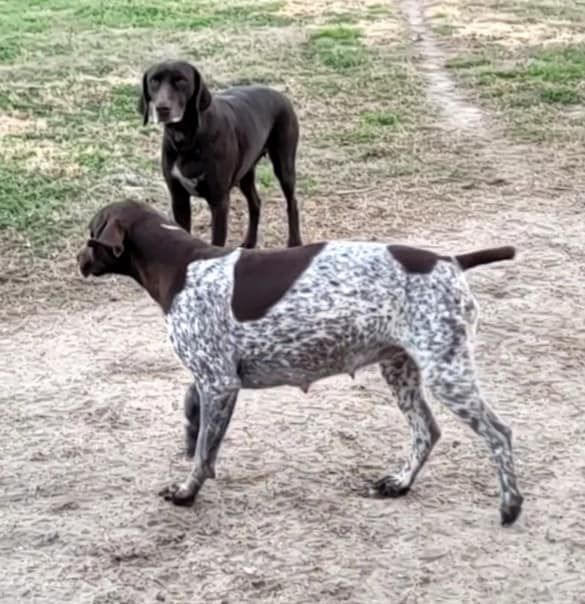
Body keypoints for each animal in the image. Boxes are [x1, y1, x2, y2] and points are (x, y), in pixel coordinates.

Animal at [77, 200, 523, 526]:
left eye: (91, 234)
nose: (77, 259)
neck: (182, 265)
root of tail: (450, 260)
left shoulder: (219, 382)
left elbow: (204, 452)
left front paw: (187, 492)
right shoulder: (213, 378)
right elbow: (197, 423)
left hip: (446, 372)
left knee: (499, 434)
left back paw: (510, 505)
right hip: (402, 370)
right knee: (426, 431)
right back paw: (400, 484)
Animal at [138, 60, 302, 249]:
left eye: (181, 80)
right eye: (154, 81)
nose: (162, 108)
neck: (188, 139)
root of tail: (281, 95)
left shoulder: (219, 202)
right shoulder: (179, 199)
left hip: (284, 166)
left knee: (292, 202)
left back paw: (295, 241)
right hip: (244, 173)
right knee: (255, 202)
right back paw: (249, 242)